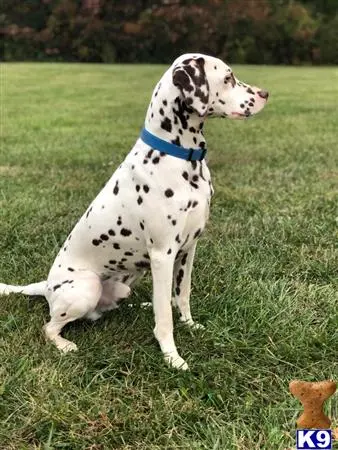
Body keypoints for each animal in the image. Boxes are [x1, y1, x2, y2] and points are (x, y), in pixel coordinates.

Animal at [0, 53, 270, 370]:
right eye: (228, 78)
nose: (265, 94)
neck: (181, 159)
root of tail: (46, 286)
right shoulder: (163, 255)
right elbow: (164, 318)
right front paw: (172, 356)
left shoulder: (188, 249)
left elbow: (182, 295)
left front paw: (190, 324)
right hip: (86, 287)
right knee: (50, 326)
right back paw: (65, 344)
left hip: (122, 287)